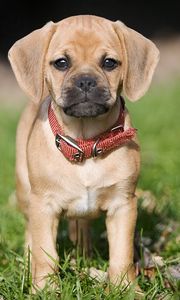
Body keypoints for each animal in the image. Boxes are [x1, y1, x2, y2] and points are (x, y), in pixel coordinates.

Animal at [8, 15, 159, 290]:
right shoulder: (43, 206)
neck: (85, 142)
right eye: (61, 62)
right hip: (25, 192)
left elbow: (121, 255)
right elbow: (45, 253)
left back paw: (83, 257)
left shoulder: (123, 205)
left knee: (82, 227)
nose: (86, 81)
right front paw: (45, 289)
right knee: (29, 234)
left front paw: (126, 288)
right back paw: (27, 263)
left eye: (109, 62)